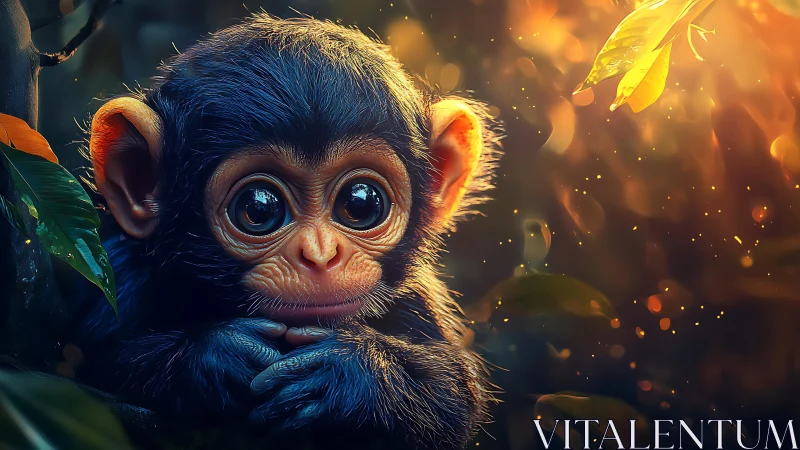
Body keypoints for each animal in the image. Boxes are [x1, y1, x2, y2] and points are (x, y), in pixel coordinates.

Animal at [72, 14, 501, 450]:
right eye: (259, 207)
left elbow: (454, 398)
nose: (319, 254)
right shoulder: (121, 268)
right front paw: (215, 357)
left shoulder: (416, 295)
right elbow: (100, 362)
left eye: (361, 202)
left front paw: (348, 374)